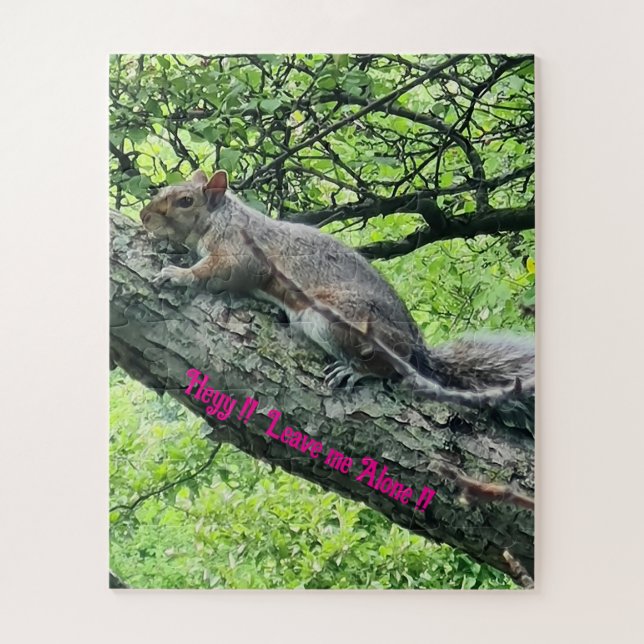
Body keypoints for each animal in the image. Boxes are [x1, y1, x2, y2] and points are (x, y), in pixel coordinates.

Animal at [140, 169, 535, 413]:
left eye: (186, 201)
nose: (144, 216)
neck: (221, 217)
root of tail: (416, 346)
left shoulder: (242, 251)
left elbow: (216, 271)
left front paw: (178, 274)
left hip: (335, 318)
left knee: (394, 366)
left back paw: (358, 371)